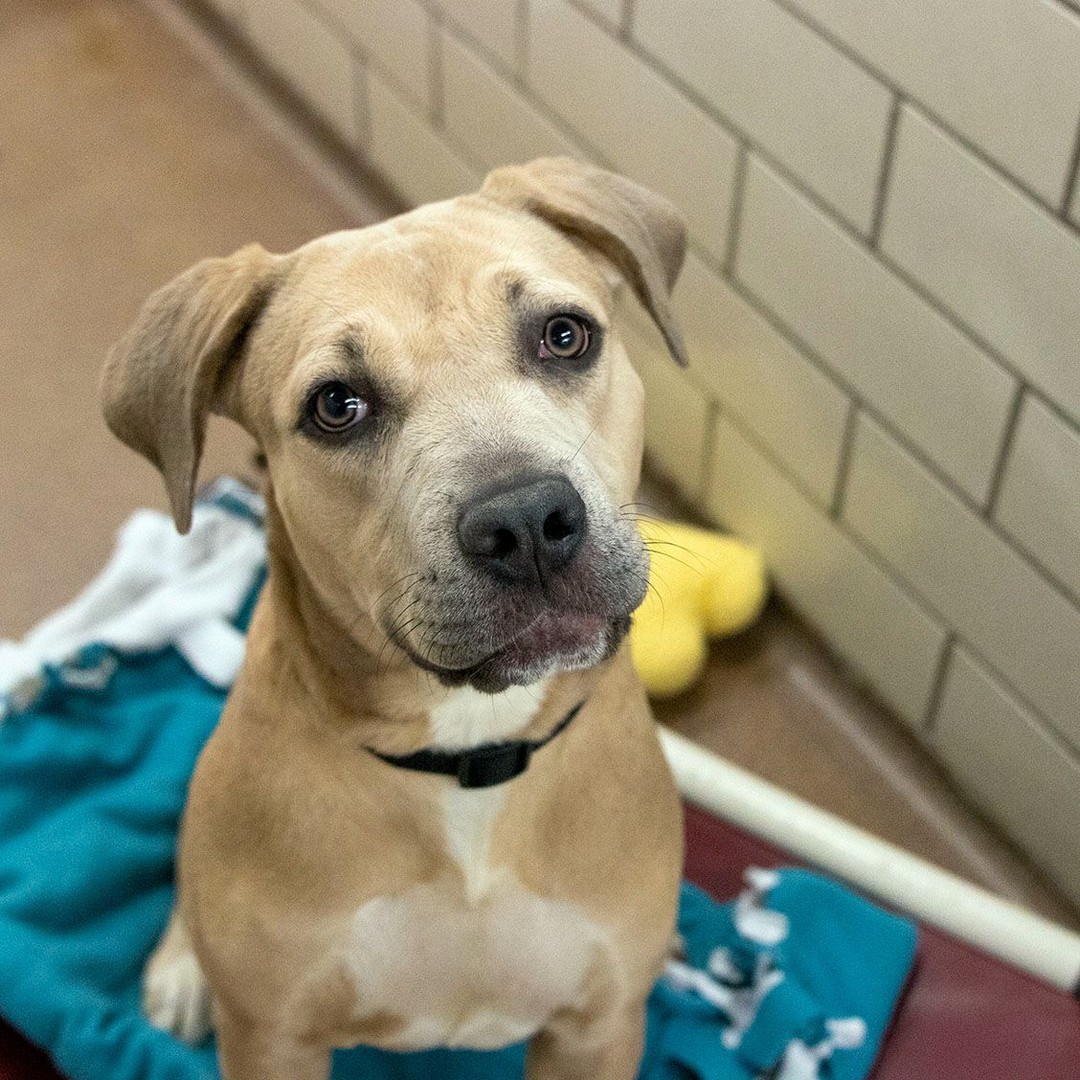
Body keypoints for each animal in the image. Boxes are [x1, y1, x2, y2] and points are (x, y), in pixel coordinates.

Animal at [105, 159, 686, 1080]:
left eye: (564, 335)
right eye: (337, 405)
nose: (527, 521)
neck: (469, 753)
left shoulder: (596, 1029)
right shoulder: (273, 1039)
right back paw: (182, 966)